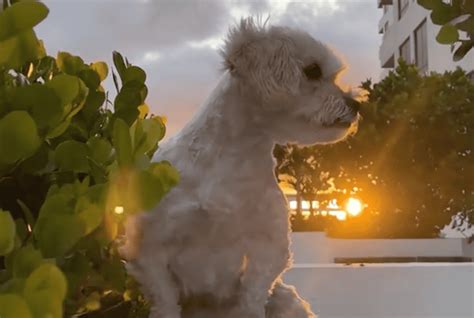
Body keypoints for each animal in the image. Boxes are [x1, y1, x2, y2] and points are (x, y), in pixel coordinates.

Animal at [122, 18, 360, 318]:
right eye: (313, 70)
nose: (357, 104)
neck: (232, 159)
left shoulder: (269, 247)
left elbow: (252, 297)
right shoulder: (149, 247)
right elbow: (165, 301)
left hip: (286, 299)